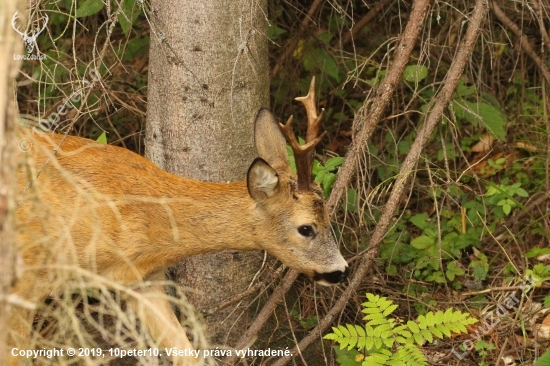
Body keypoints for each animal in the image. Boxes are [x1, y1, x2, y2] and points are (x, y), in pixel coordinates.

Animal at [10, 76, 350, 364]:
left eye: (328, 216)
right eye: (306, 228)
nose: (342, 271)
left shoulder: (143, 280)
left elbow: (186, 352)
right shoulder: (25, 281)